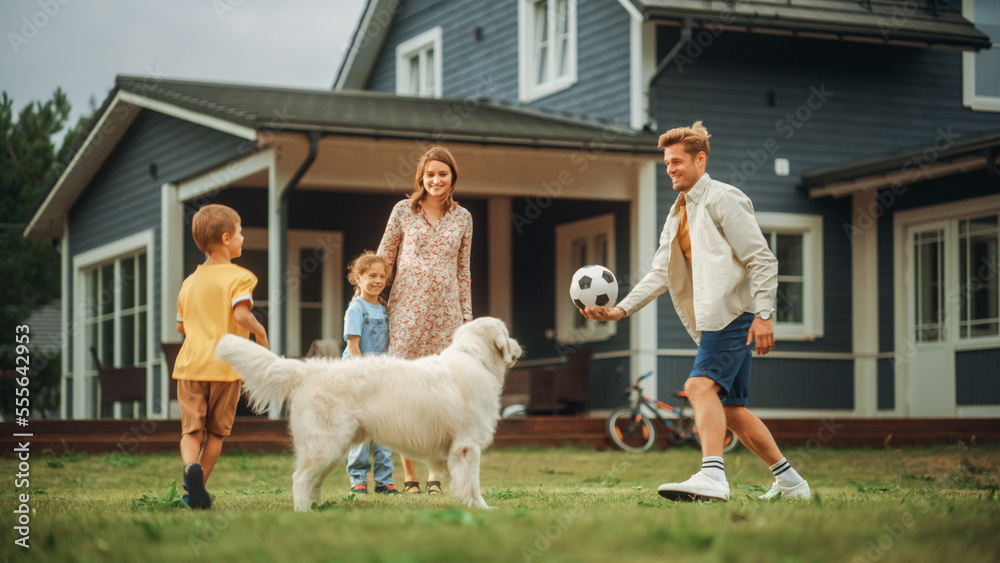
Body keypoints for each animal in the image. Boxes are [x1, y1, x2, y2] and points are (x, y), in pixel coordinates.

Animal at [214, 318, 520, 512]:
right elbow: (472, 484)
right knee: (300, 479)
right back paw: (304, 514)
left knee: (313, 480)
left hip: (332, 448)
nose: (519, 344)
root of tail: (307, 370)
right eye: (507, 333)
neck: (475, 358)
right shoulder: (467, 446)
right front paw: (481, 508)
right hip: (326, 444)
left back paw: (319, 509)